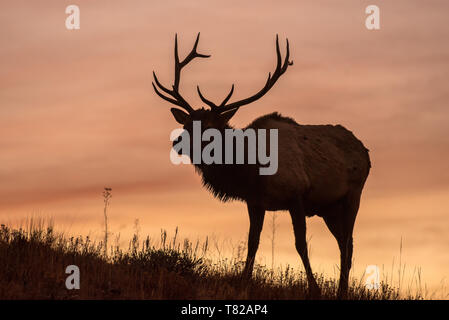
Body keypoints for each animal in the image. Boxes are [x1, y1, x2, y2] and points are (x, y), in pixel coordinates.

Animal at [152, 33, 370, 298]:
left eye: (210, 126)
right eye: (186, 125)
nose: (177, 143)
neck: (251, 170)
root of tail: (365, 151)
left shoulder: (296, 194)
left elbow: (300, 244)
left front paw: (314, 289)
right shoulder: (255, 202)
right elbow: (252, 242)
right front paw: (243, 282)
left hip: (353, 195)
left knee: (347, 244)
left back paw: (342, 291)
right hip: (329, 208)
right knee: (345, 244)